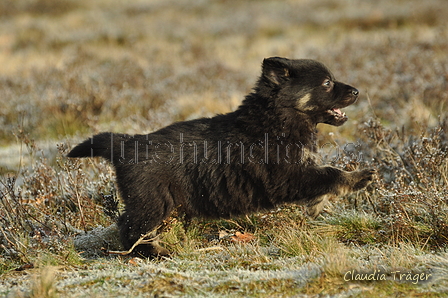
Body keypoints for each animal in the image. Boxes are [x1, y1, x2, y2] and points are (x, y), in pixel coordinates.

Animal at [67, 57, 374, 256]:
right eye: (326, 83)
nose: (357, 91)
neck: (277, 117)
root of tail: (128, 142)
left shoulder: (300, 170)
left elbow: (322, 177)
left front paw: (317, 205)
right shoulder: (287, 175)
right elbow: (330, 173)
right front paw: (359, 177)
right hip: (151, 200)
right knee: (130, 228)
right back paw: (151, 252)